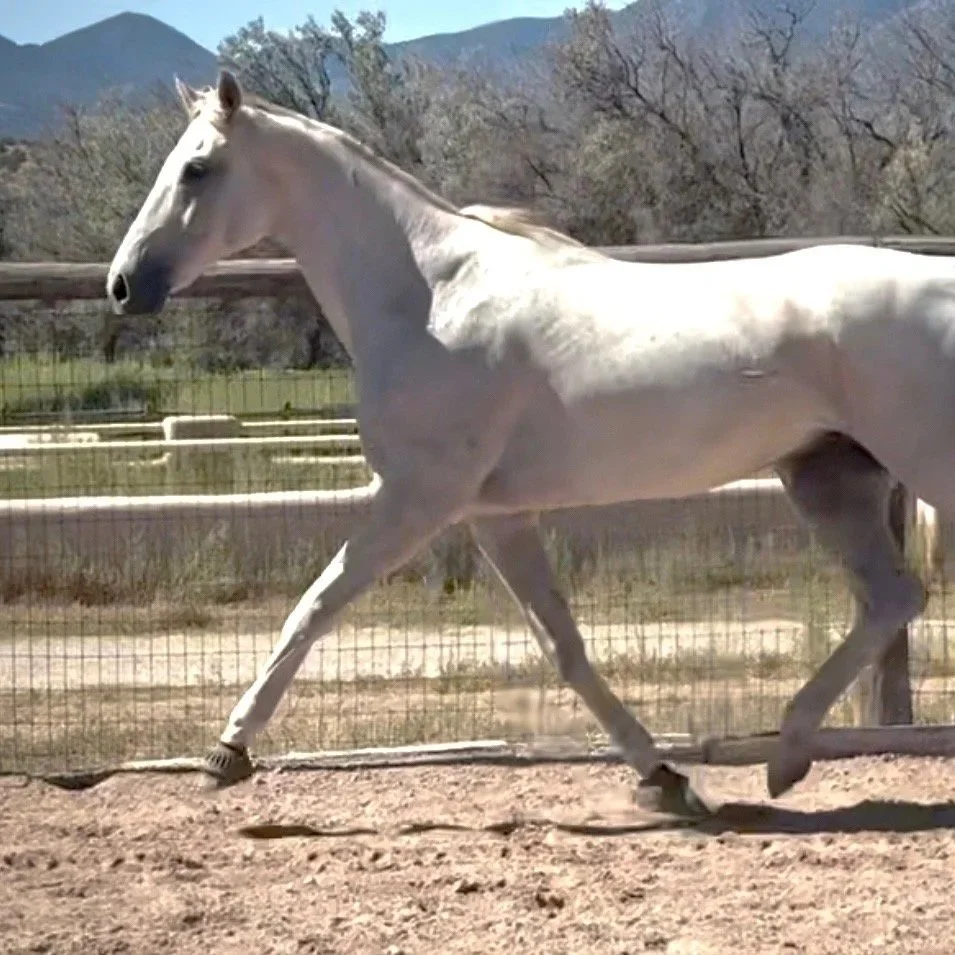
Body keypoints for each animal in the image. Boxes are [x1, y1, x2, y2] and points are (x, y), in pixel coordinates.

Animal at [107, 69, 955, 817]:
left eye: (196, 168)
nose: (122, 285)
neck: (428, 296)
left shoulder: (417, 499)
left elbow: (313, 607)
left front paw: (225, 755)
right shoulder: (495, 516)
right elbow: (564, 647)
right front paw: (664, 779)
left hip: (912, 465)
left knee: (896, 596)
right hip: (824, 476)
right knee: (892, 597)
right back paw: (784, 757)